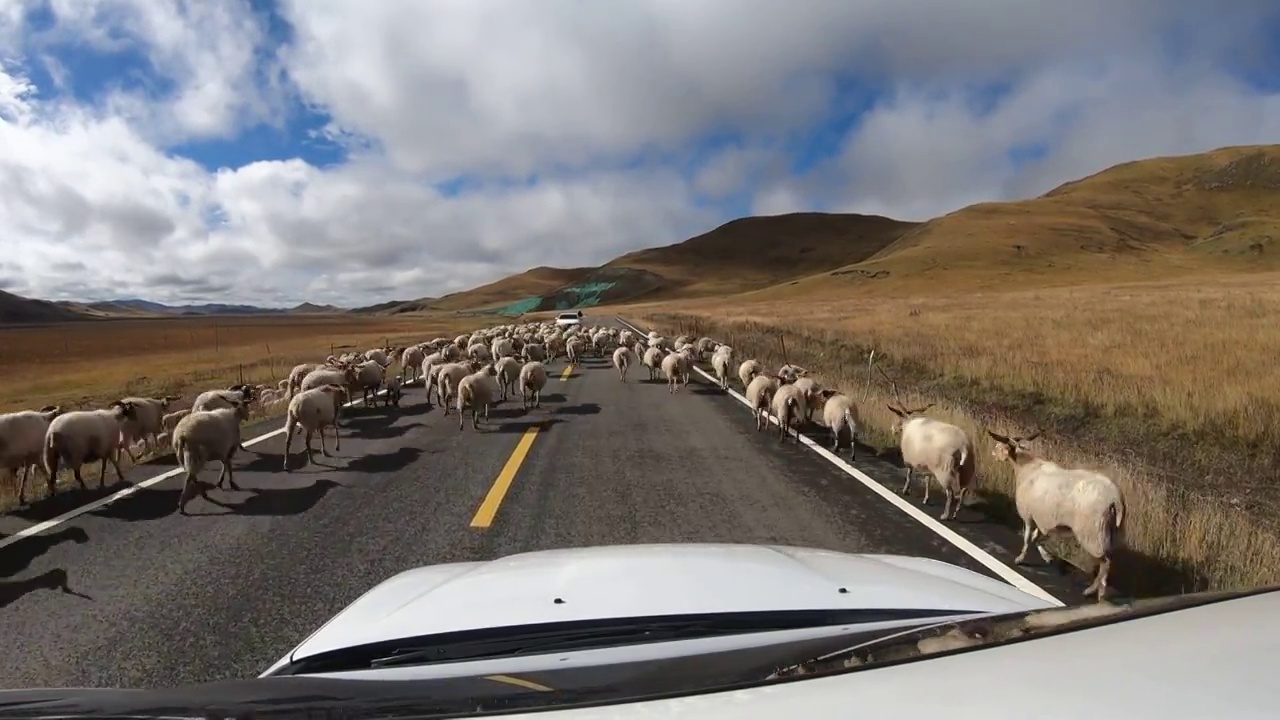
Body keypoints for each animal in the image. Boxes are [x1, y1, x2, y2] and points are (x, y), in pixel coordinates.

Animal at [983, 425, 1126, 599]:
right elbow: (1036, 538)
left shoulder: (1028, 515)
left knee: (1105, 562)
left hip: (1093, 532)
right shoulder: (1042, 517)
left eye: (1000, 446)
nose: (993, 453)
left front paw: (1020, 558)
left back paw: (1095, 591)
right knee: (1108, 560)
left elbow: (1027, 537)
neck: (1025, 466)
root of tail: (1115, 498)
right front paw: (1047, 557)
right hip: (1112, 531)